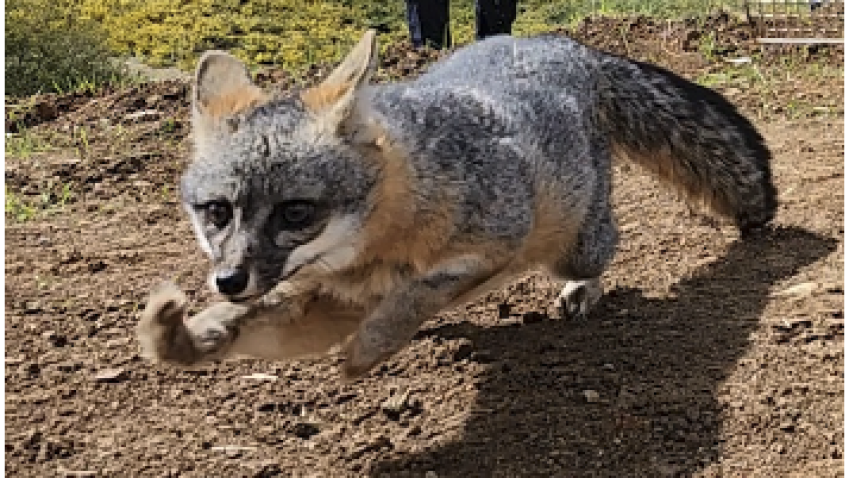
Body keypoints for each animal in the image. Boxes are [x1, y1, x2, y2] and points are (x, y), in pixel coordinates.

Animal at [137, 30, 776, 378]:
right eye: (217, 212)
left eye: (295, 213)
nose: (228, 279)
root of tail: (562, 45)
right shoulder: (328, 302)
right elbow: (252, 324)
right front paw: (186, 336)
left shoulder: (494, 246)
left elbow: (421, 292)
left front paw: (370, 348)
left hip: (575, 243)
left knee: (603, 247)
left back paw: (581, 288)